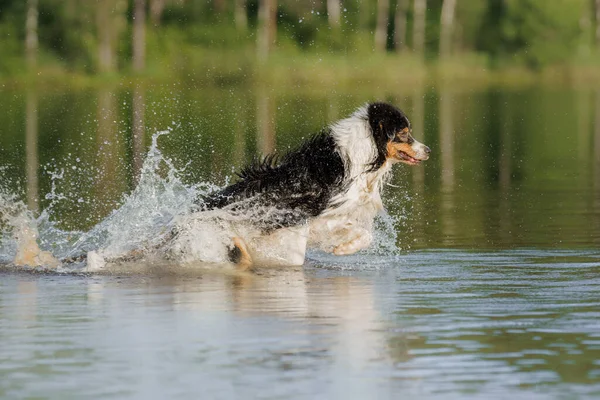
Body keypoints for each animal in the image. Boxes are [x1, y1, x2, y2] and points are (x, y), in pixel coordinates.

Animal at [198, 101, 432, 270]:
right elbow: (362, 233)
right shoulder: (318, 216)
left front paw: (341, 248)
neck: (367, 155)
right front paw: (341, 250)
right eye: (404, 133)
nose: (428, 150)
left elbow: (364, 234)